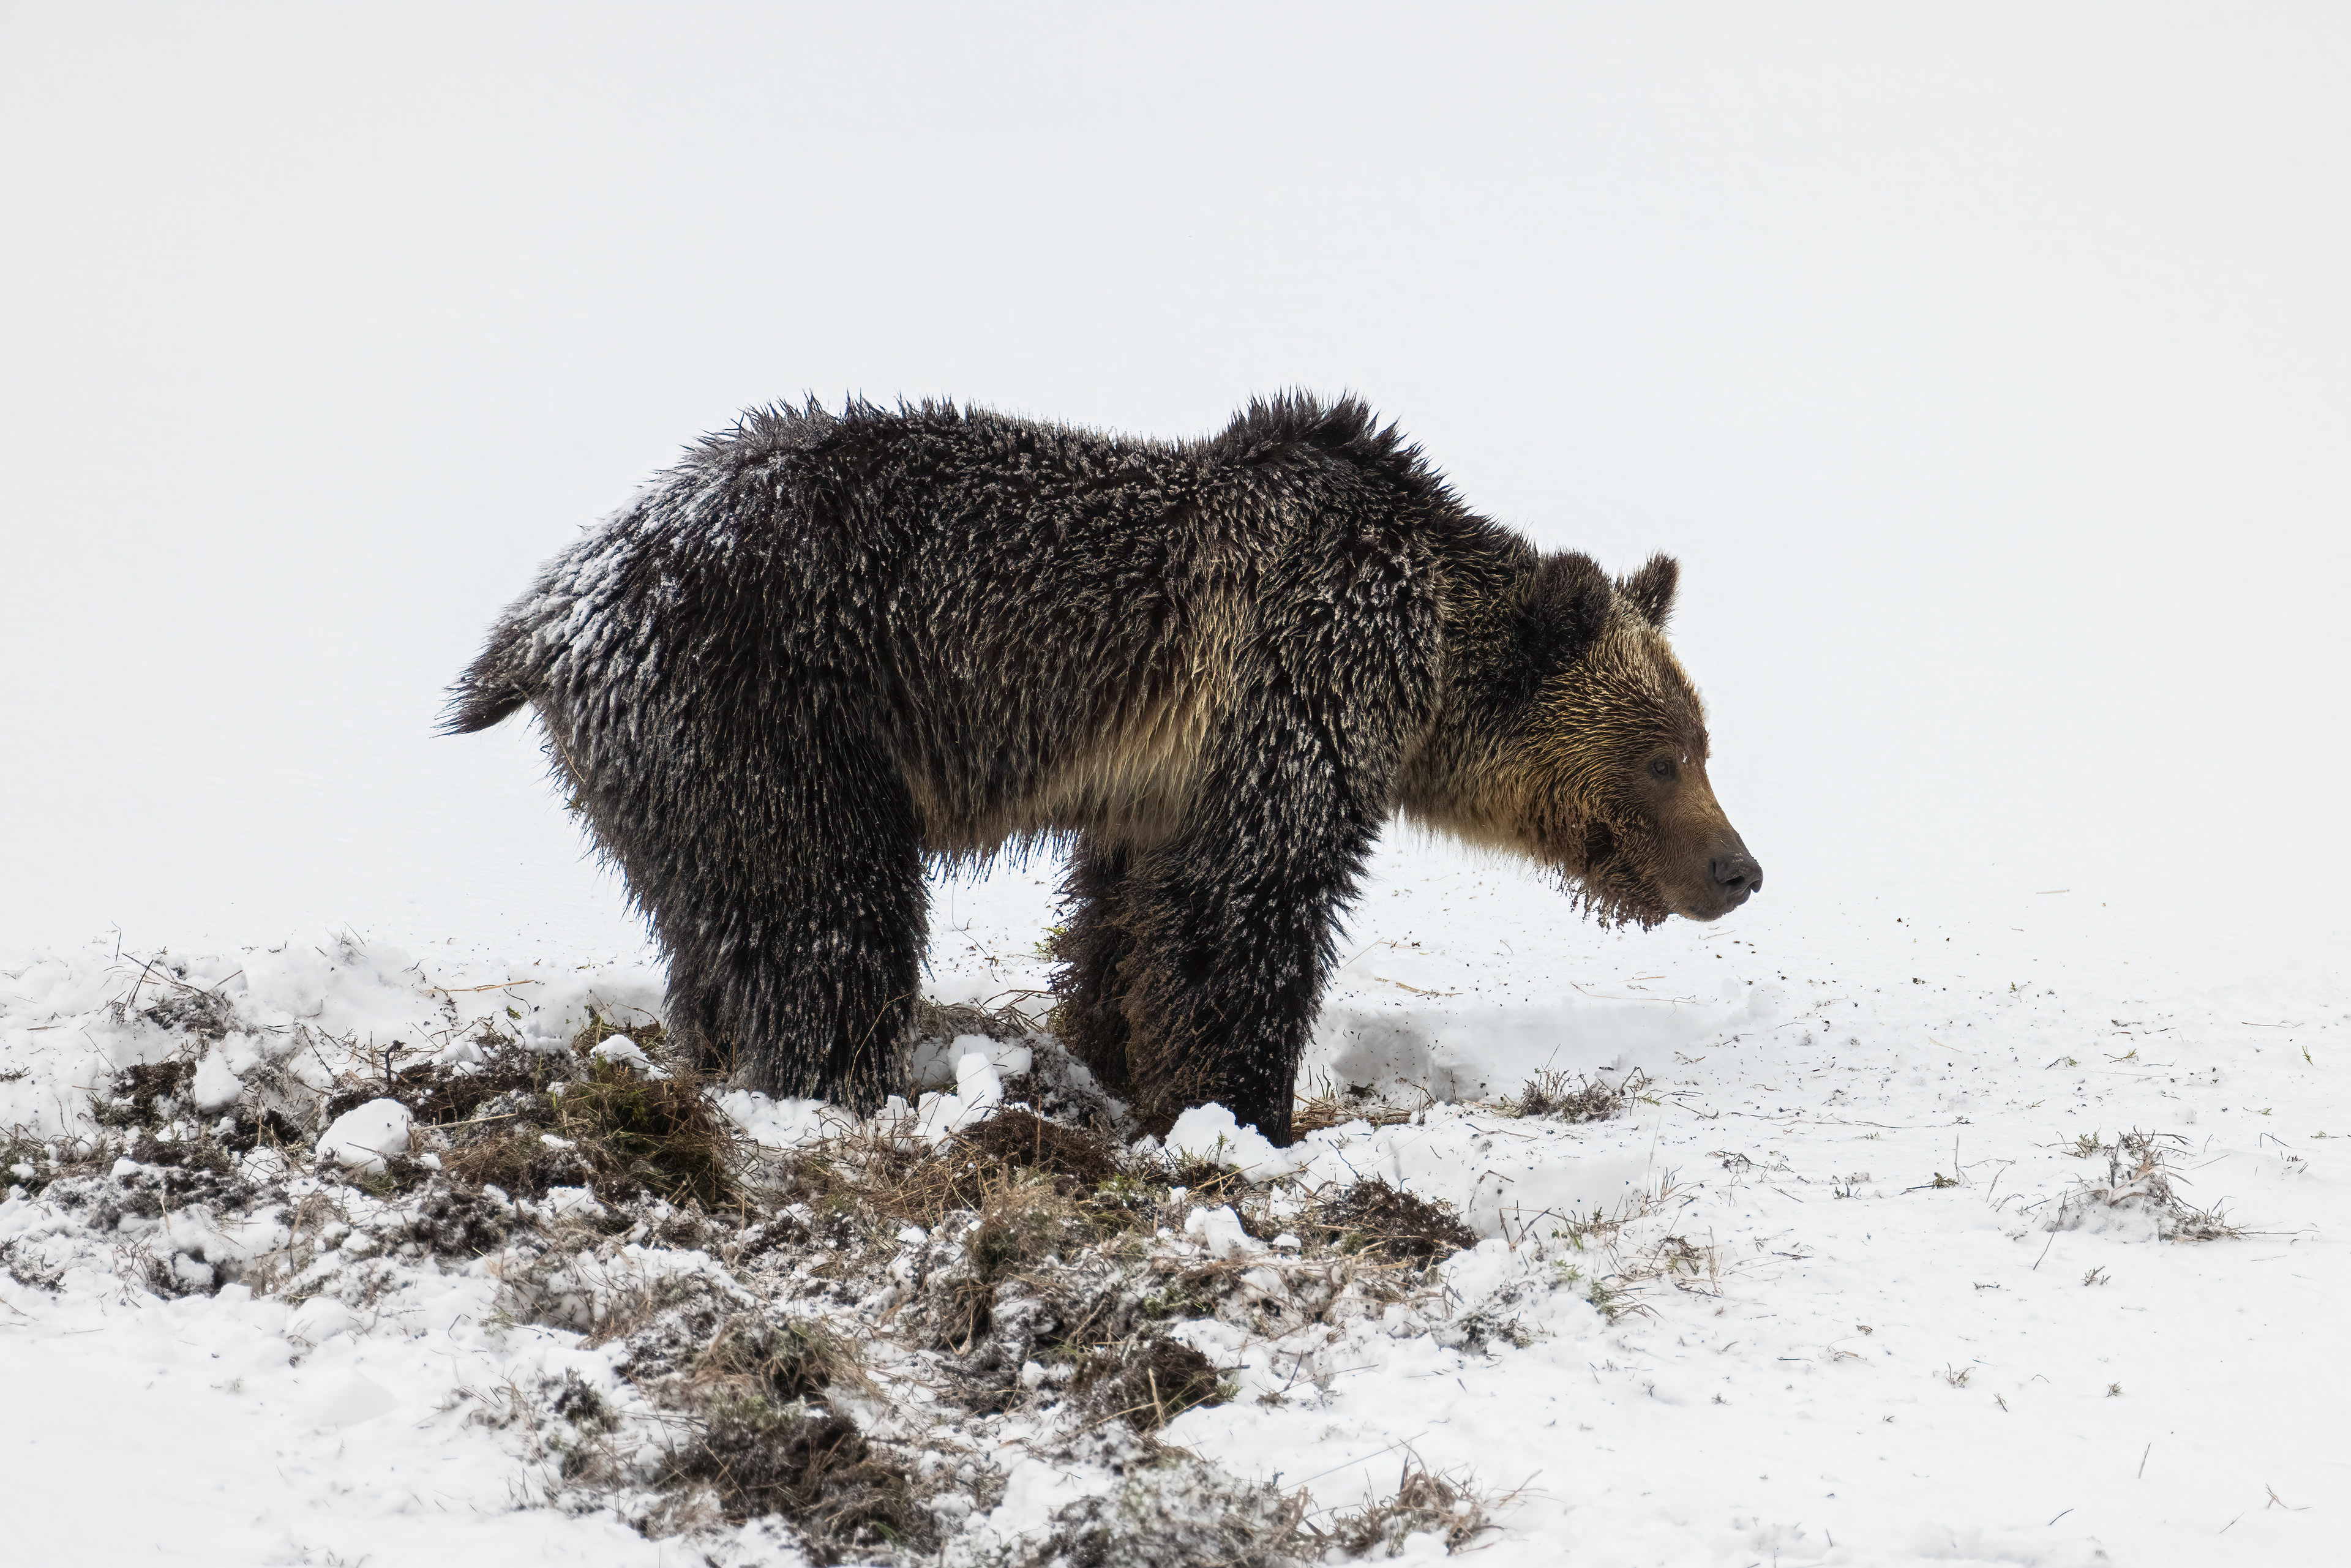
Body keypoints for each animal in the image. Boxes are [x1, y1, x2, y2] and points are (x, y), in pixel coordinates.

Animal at [447, 394, 1760, 1144]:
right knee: (829, 914)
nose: (1740, 869)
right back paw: (844, 1084)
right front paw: (1243, 1111)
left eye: (1703, 742)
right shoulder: (1296, 689)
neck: (1427, 652)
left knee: (716, 925)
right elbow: (1249, 909)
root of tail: (551, 612)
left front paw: (1122, 1057)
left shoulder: (1160, 783)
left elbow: (1133, 913)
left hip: (668, 773)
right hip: (773, 717)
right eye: (1663, 757)